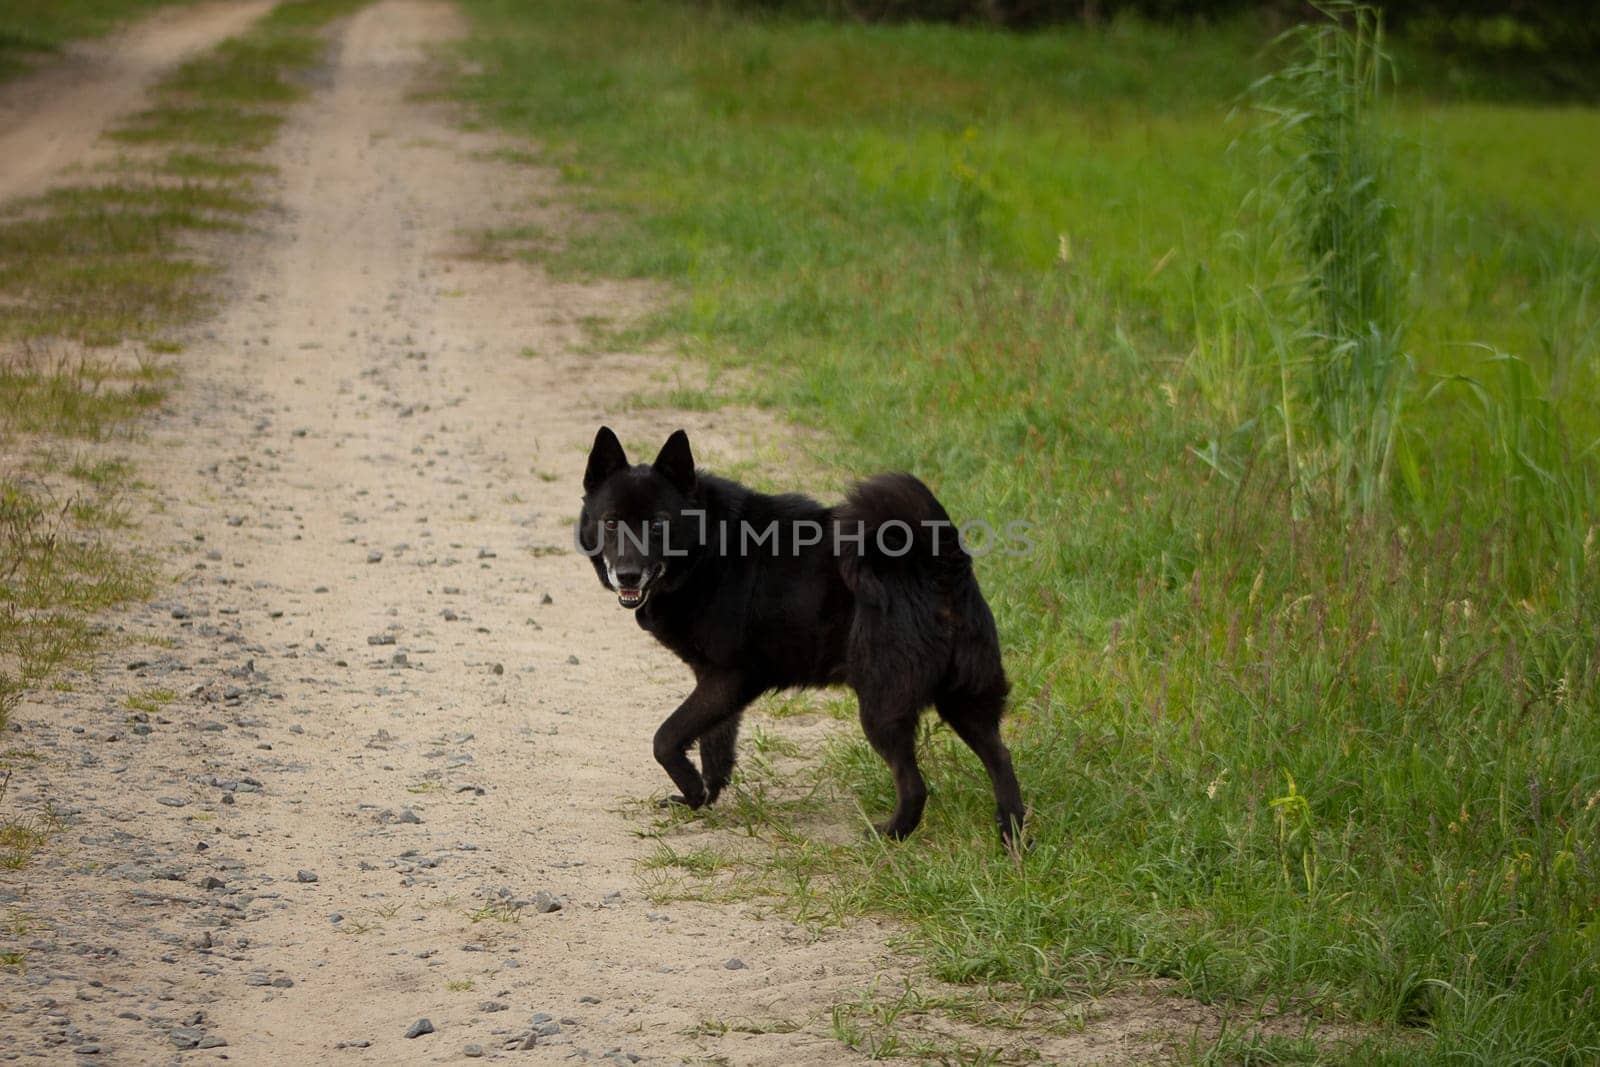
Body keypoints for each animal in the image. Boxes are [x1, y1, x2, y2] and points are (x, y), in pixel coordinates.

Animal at [579, 422, 1024, 844]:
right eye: (611, 522)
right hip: (964, 699)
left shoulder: (730, 677)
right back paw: (1012, 838)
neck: (705, 551)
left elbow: (666, 737)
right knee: (1001, 759)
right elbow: (714, 744)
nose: (627, 574)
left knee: (914, 786)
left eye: (658, 524)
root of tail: (938, 561)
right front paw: (704, 796)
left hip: (882, 707)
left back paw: (888, 836)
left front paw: (691, 789)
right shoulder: (717, 684)